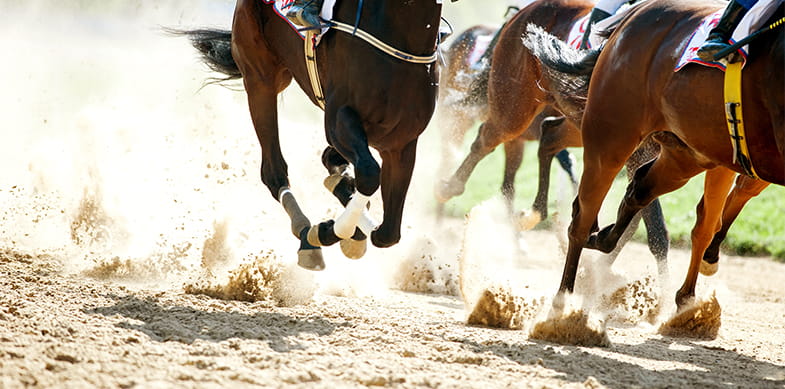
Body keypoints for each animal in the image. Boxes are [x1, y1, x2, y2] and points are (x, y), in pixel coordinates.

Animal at [179, 0, 448, 270]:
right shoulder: (339, 117)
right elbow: (370, 175)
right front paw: (326, 231)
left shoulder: (400, 145)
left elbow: (388, 233)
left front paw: (348, 220)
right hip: (260, 78)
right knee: (274, 172)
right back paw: (307, 235)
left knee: (329, 162)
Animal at [524, 0, 780, 306]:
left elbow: (709, 217)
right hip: (611, 138)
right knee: (584, 213)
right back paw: (564, 302)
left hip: (683, 156)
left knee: (640, 191)